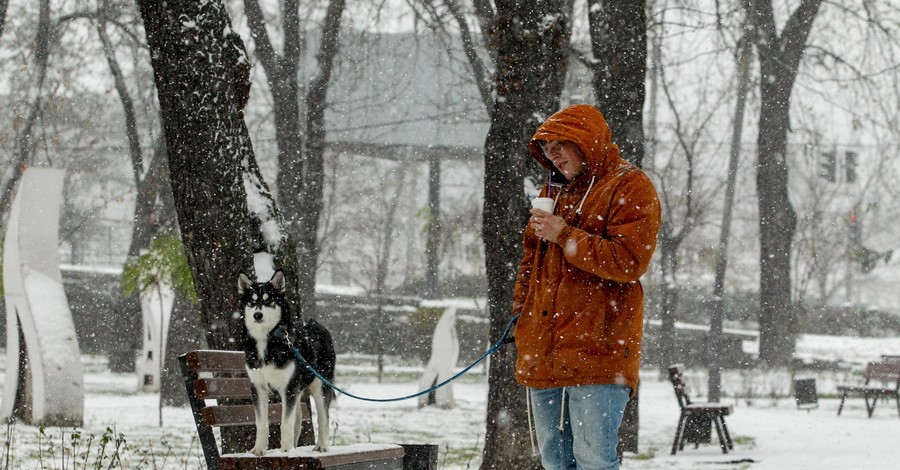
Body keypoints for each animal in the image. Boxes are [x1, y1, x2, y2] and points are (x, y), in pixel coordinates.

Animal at [237, 270, 336, 454]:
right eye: (252, 301)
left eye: (268, 300)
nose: (257, 315)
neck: (267, 341)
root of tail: (318, 325)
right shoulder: (257, 388)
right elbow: (262, 423)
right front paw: (259, 449)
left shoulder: (289, 388)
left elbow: (285, 423)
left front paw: (286, 451)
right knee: (298, 419)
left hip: (320, 385)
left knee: (323, 417)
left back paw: (322, 446)